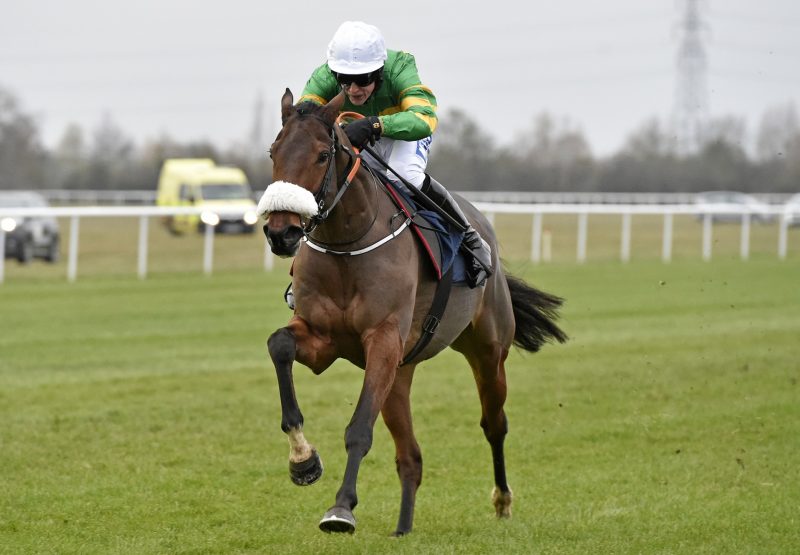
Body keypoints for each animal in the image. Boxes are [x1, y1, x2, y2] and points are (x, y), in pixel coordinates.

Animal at [260, 89, 564, 536]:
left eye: (321, 155)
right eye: (273, 151)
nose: (281, 233)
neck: (347, 245)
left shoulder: (383, 339)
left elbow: (359, 429)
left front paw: (341, 508)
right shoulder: (323, 339)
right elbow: (279, 344)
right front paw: (303, 459)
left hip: (487, 351)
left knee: (494, 423)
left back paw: (503, 500)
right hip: (400, 373)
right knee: (411, 457)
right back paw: (403, 528)